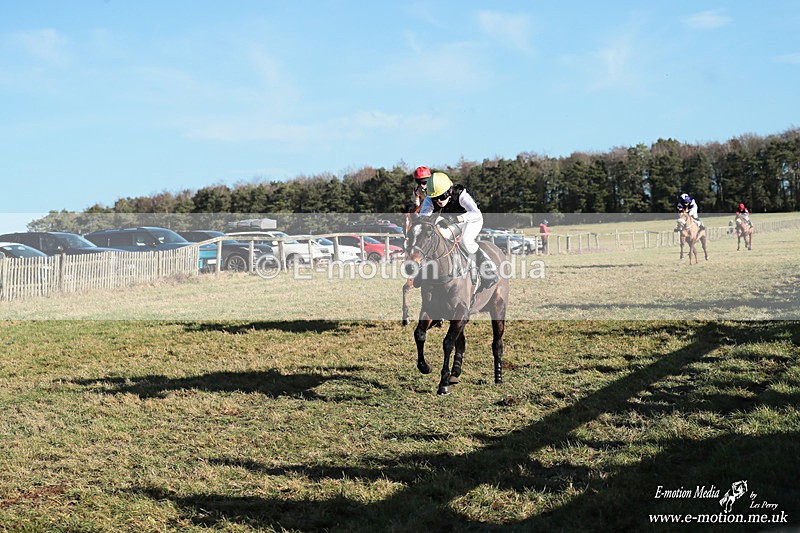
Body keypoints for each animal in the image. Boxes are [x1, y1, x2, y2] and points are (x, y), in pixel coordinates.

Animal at [404, 218, 509, 395]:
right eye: (410, 233)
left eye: (428, 235)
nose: (410, 266)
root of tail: (497, 250)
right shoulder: (430, 310)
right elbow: (419, 334)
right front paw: (425, 366)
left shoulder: (460, 312)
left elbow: (448, 343)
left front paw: (443, 384)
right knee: (461, 342)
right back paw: (455, 373)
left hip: (498, 307)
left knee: (497, 342)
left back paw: (498, 376)